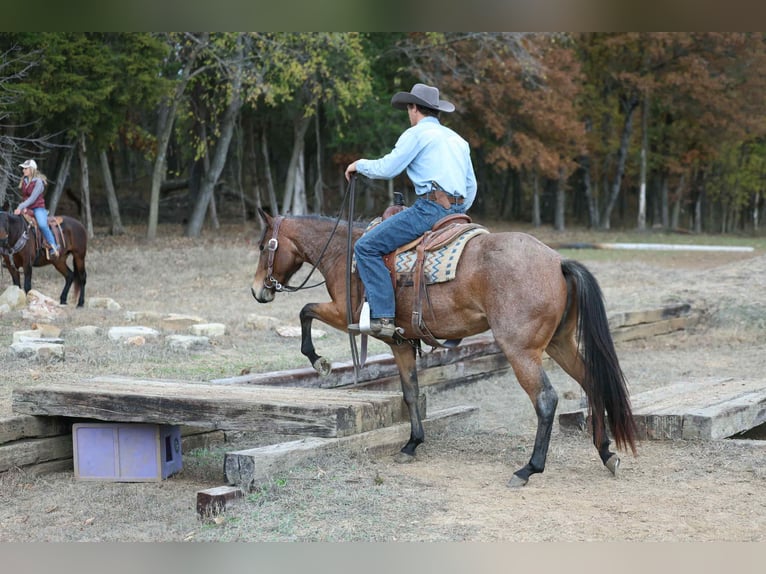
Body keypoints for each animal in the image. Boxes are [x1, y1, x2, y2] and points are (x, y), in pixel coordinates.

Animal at [250, 207, 637, 487]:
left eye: (263, 246)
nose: (258, 290)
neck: (344, 253)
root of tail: (558, 262)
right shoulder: (401, 342)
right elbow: (411, 392)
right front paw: (412, 444)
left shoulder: (347, 314)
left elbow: (305, 310)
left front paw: (319, 361)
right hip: (559, 343)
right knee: (591, 382)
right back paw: (606, 453)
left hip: (521, 351)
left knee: (545, 399)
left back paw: (528, 469)